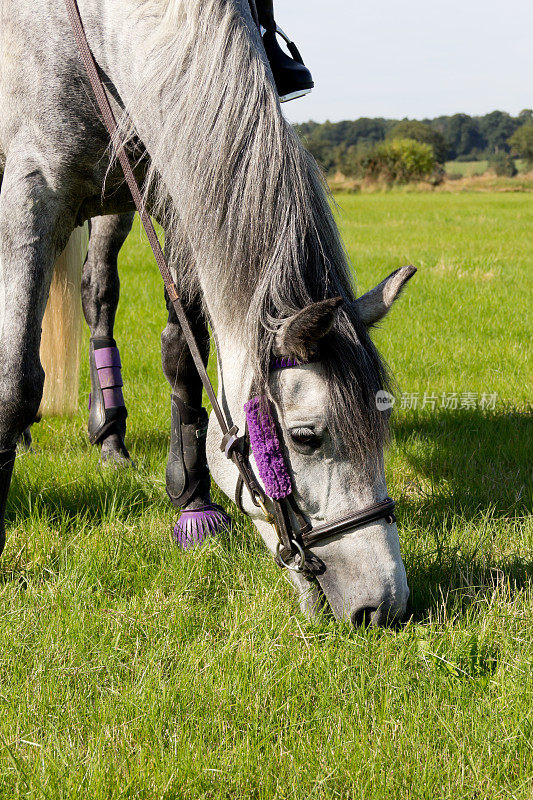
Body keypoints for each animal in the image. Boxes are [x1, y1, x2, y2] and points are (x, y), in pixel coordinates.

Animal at [0, 0, 414, 624]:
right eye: (305, 438)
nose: (384, 604)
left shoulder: (173, 185)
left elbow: (183, 349)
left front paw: (192, 499)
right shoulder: (31, 187)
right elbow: (16, 381)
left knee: (99, 293)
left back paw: (111, 441)